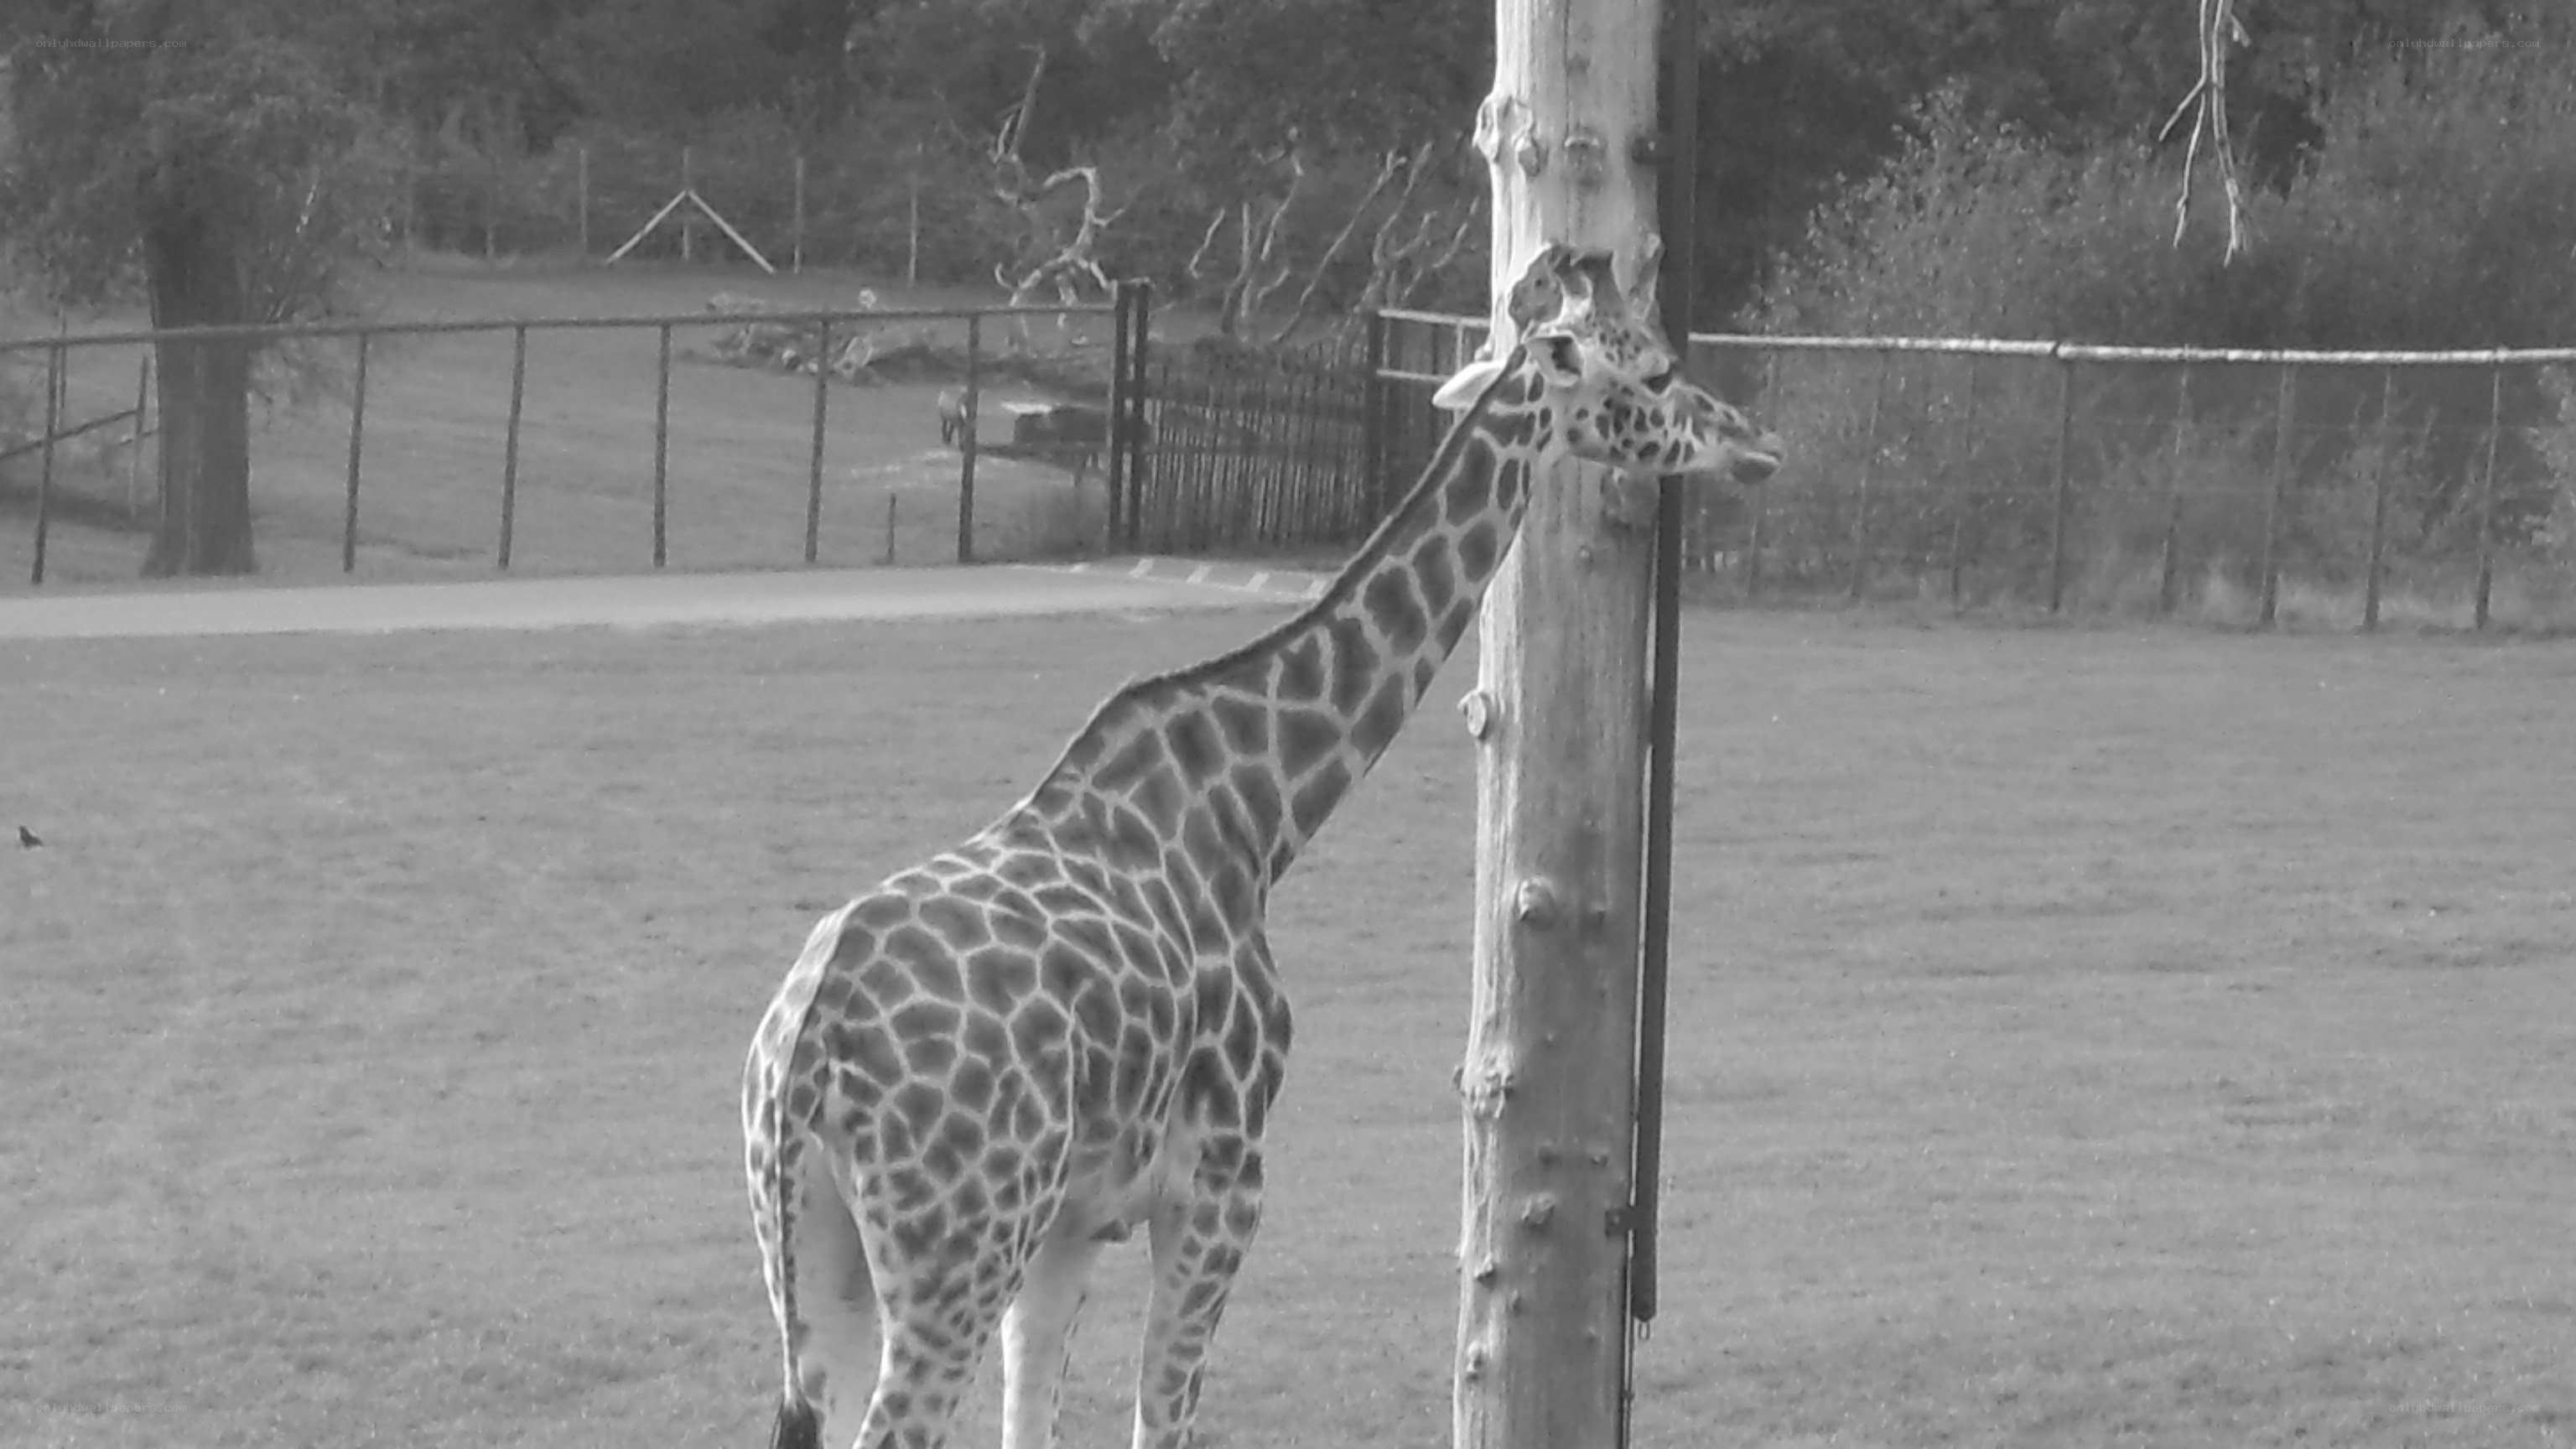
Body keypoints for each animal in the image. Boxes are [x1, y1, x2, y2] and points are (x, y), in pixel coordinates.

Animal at [742, 243, 1783, 1449]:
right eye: (1654, 370)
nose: (1757, 440)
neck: (1258, 812)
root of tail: (807, 1051)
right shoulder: (1223, 1177)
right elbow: (1164, 1416)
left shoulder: (1071, 1221)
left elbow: (1037, 1415)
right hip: (954, 1245)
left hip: (815, 1252)